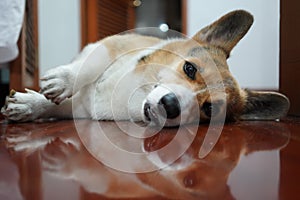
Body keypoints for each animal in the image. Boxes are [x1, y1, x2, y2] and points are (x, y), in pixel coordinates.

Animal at [0, 10, 290, 126]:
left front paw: (30, 106)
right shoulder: (109, 45)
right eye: (190, 69)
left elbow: (58, 107)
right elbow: (88, 67)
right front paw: (58, 84)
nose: (170, 106)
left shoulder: (81, 109)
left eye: (210, 109)